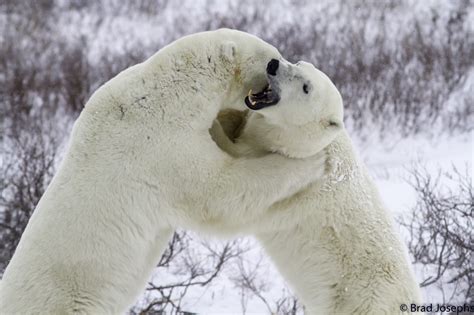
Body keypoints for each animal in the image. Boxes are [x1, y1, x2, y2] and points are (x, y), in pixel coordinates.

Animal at [0, 29, 330, 314]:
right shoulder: (161, 143)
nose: (276, 64)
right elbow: (217, 191)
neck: (172, 91)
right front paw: (311, 164)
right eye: (272, 57)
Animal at [211, 58, 422, 314]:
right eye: (299, 62)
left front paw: (215, 129)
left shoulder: (296, 192)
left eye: (306, 88)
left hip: (358, 300)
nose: (273, 64)